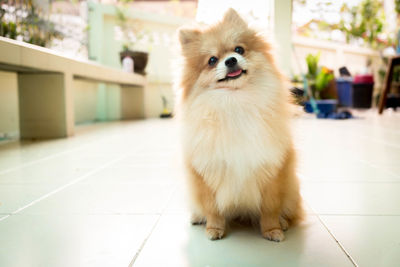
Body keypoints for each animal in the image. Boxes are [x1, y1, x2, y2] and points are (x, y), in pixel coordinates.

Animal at [175, 8, 304, 243]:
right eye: (212, 60)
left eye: (239, 49)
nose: (231, 60)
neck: (235, 101)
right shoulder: (206, 173)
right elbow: (213, 208)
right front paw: (214, 229)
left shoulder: (272, 170)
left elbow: (270, 208)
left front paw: (272, 230)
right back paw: (198, 218)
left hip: (292, 190)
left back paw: (283, 222)